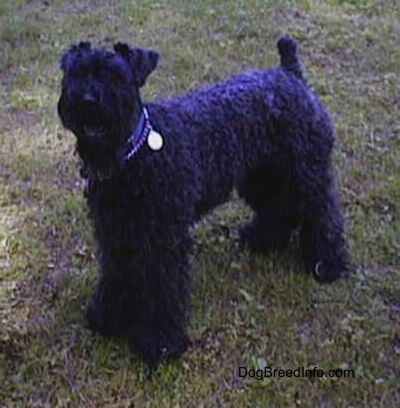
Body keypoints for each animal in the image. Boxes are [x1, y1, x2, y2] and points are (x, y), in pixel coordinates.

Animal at [57, 35, 348, 366]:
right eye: (76, 74)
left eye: (115, 75)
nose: (88, 102)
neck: (134, 155)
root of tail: (290, 74)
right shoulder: (117, 233)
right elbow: (116, 273)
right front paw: (107, 316)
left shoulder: (163, 241)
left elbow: (163, 287)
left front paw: (160, 341)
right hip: (262, 175)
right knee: (280, 207)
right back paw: (264, 239)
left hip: (305, 174)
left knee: (322, 212)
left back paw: (327, 264)